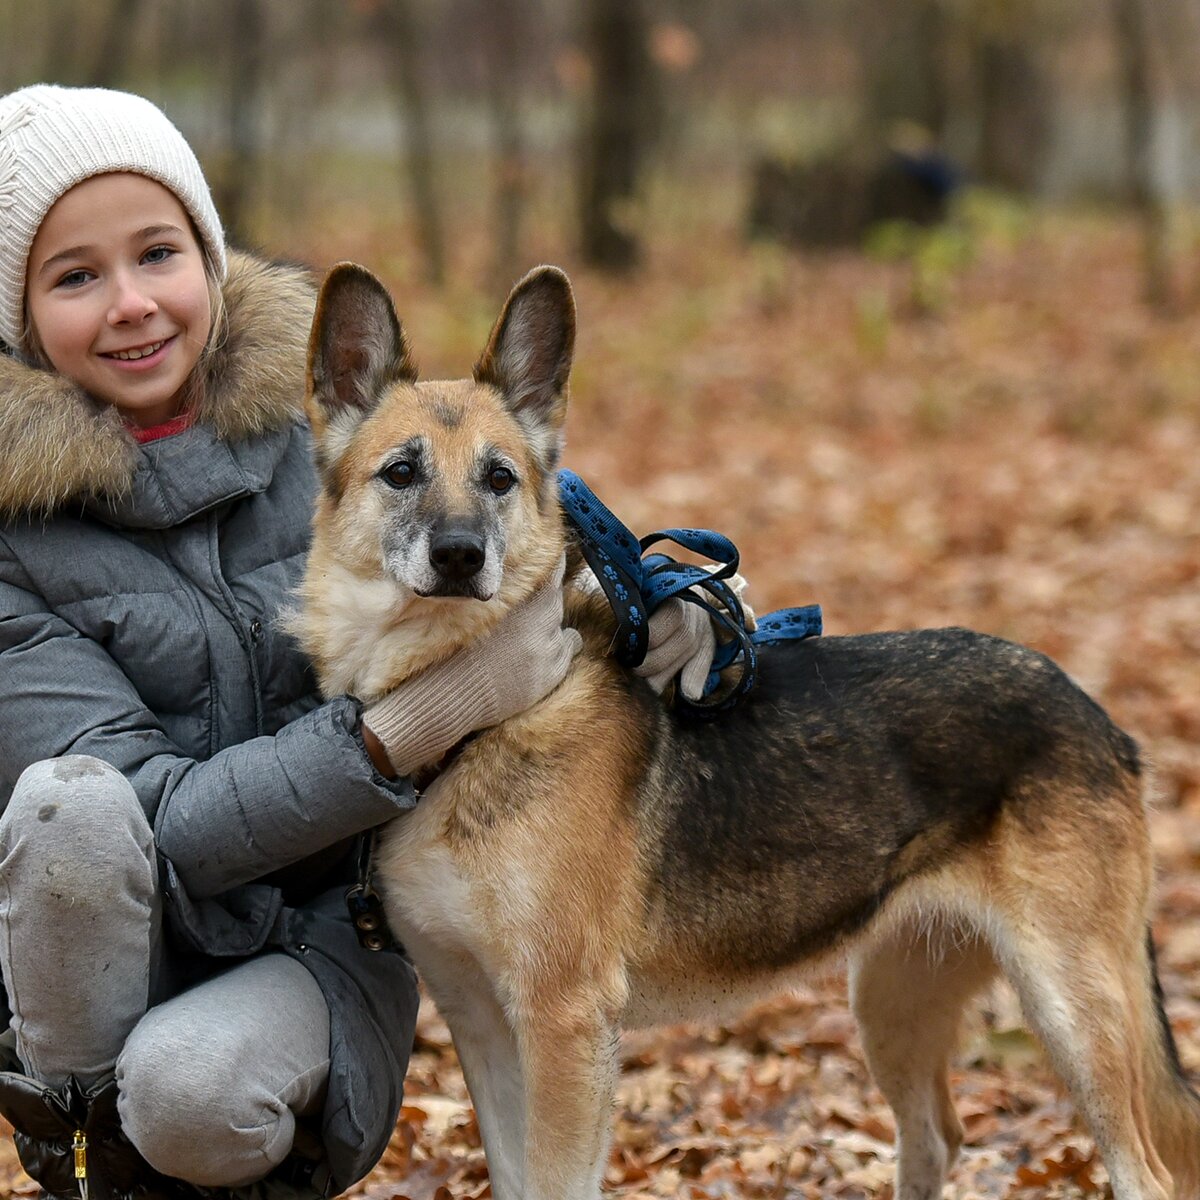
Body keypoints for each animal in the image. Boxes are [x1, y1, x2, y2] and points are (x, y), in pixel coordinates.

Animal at [292, 262, 1200, 1200]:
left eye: (499, 479)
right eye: (401, 472)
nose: (462, 556)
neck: (477, 717)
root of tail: (1096, 713)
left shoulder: (562, 1024)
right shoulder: (482, 1023)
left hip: (1072, 1007)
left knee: (1145, 1174)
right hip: (892, 997)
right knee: (937, 1139)